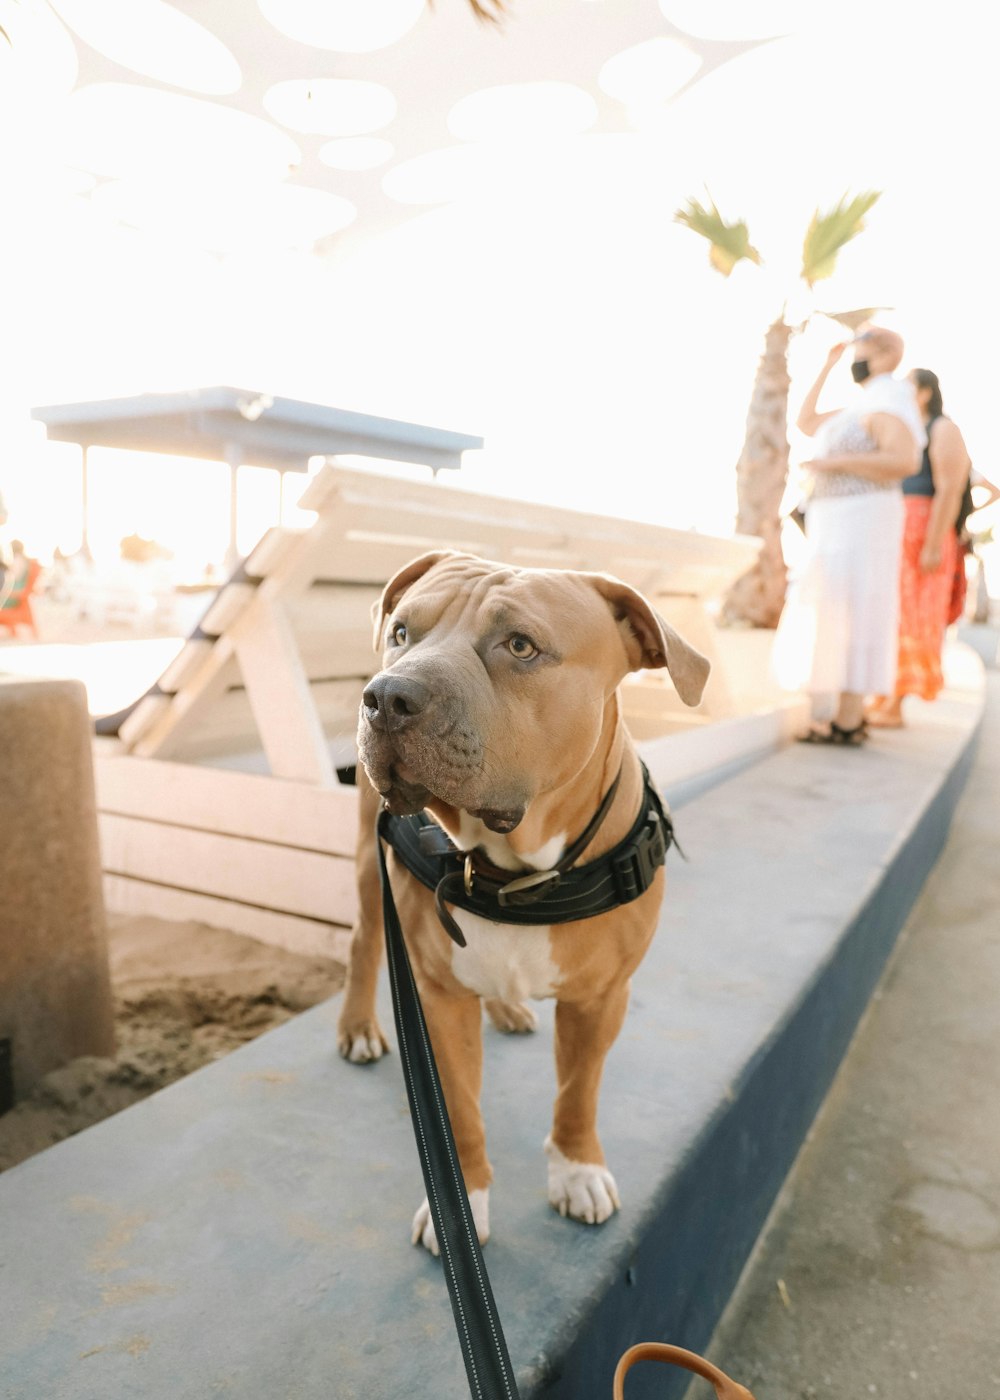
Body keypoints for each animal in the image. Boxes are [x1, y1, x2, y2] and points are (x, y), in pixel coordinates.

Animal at [337, 551, 708, 1254]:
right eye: (401, 632)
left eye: (520, 646)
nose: (387, 697)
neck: (515, 872)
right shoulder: (439, 998)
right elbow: (458, 1111)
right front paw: (467, 1206)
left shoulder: (601, 999)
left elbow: (579, 1090)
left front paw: (577, 1168)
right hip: (371, 869)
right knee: (364, 940)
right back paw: (359, 1026)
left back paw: (507, 1008)